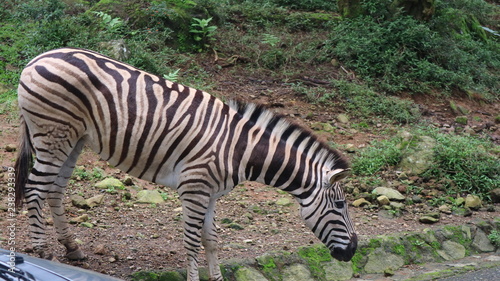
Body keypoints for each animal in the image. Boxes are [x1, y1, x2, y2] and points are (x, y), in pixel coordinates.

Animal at [15, 48, 358, 280]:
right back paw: (42, 251)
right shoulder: (195, 187)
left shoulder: (211, 193)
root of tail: (36, 59)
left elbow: (212, 239)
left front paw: (217, 278)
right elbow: (192, 242)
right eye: (340, 206)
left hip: (74, 137)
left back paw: (72, 248)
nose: (353, 251)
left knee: (54, 190)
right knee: (34, 189)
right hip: (54, 133)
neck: (240, 150)